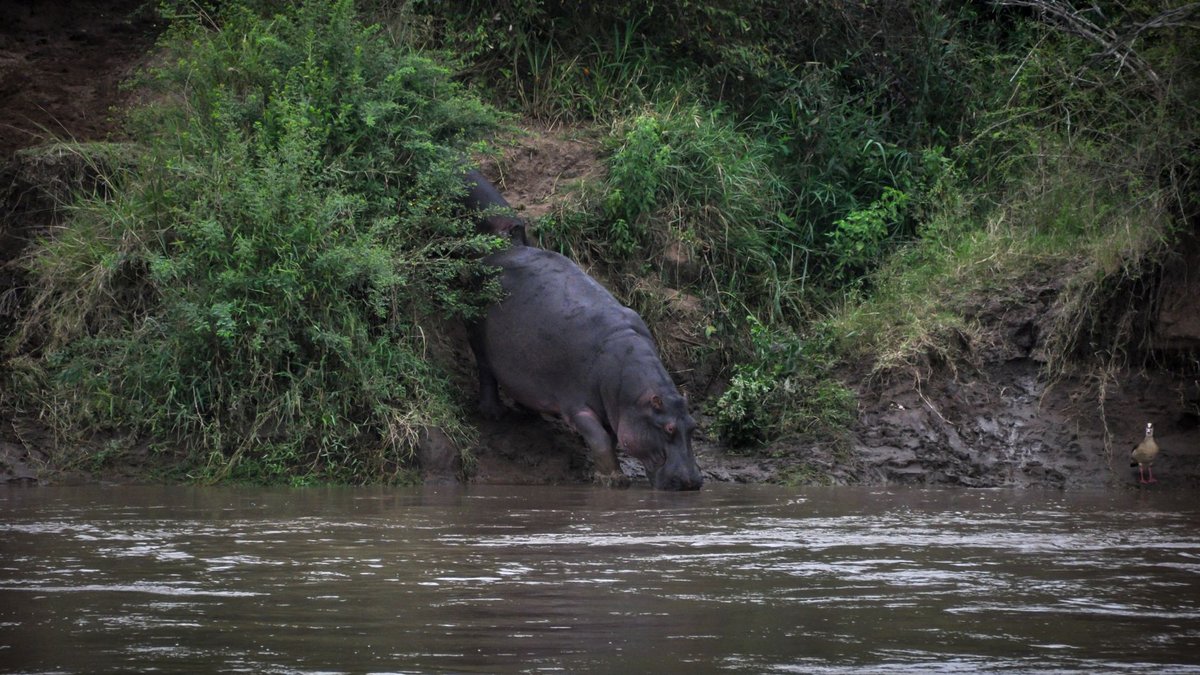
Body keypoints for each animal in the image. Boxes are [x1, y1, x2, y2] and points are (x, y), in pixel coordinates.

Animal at [469, 246, 703, 490]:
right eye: (669, 428)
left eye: (694, 425)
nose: (693, 482)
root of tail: (490, 256)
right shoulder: (577, 406)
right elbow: (599, 439)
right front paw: (614, 480)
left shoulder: (612, 409)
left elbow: (610, 438)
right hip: (478, 340)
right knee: (486, 373)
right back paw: (493, 413)